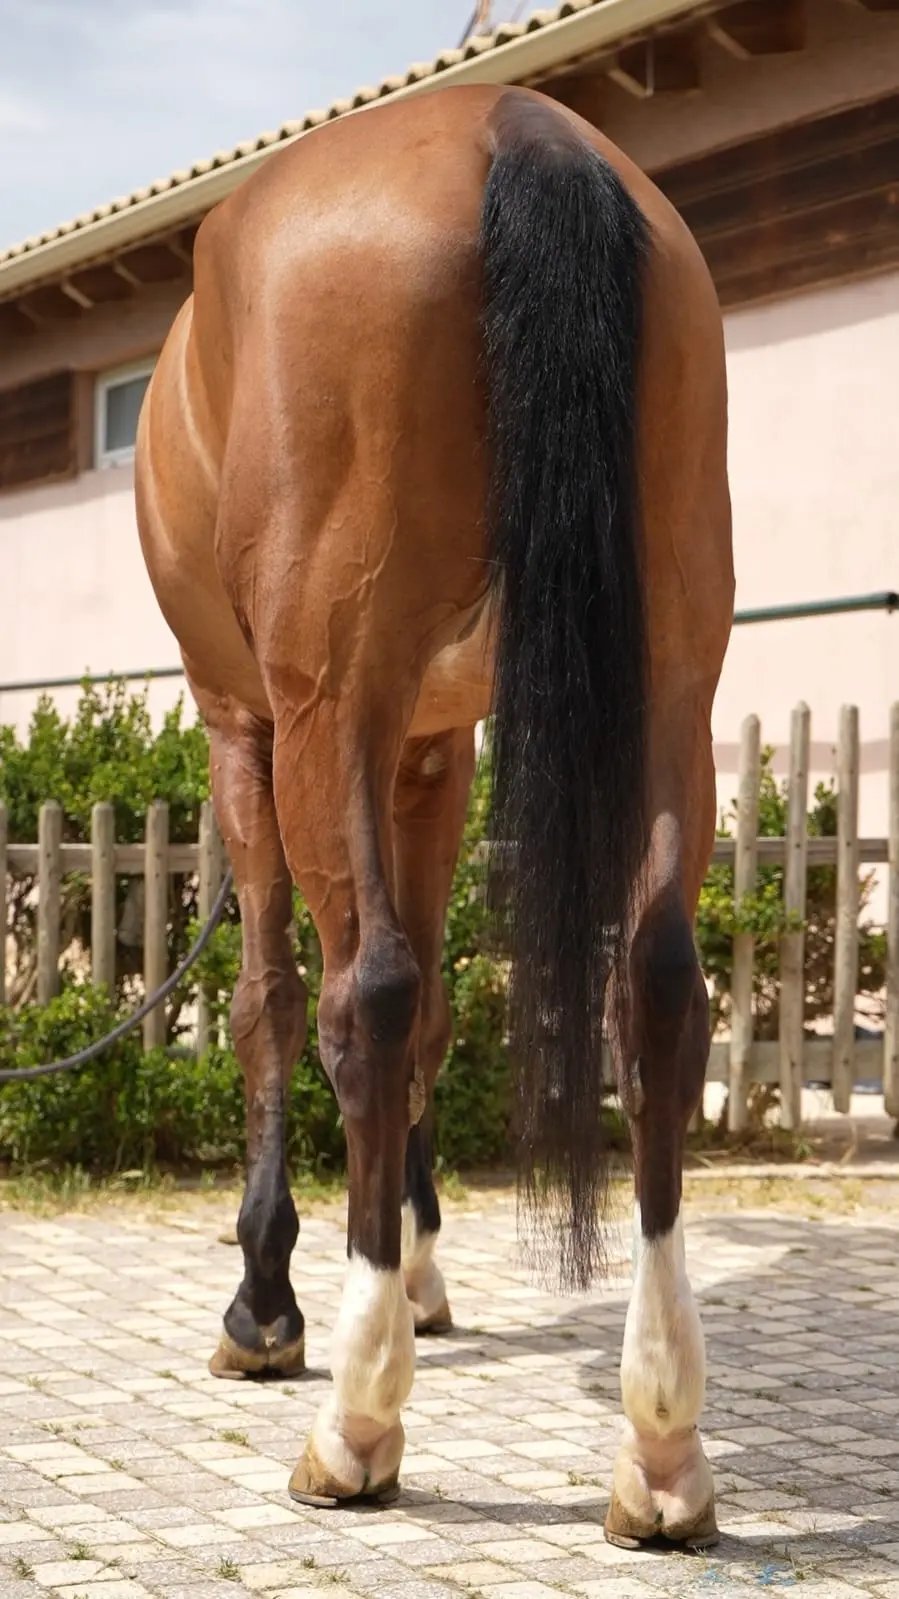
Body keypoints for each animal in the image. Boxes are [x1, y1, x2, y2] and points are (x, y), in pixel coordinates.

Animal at [135, 82, 734, 1545]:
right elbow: (442, 1010)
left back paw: (354, 1422)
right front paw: (418, 1267)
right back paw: (659, 1451)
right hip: (667, 690)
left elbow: (274, 1000)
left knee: (370, 996)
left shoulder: (251, 724)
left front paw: (268, 1307)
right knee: (654, 993)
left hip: (328, 695)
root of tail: (521, 130)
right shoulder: (433, 747)